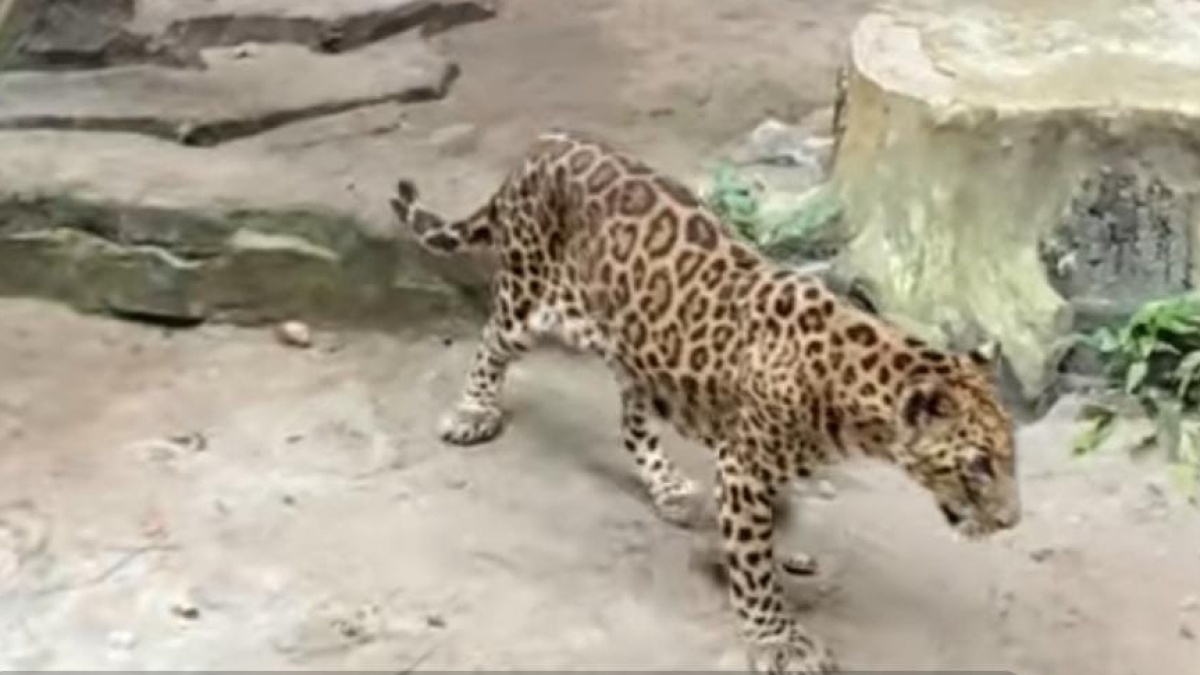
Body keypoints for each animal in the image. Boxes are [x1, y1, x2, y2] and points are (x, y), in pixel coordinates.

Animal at [388, 129, 1021, 674]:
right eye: (977, 466)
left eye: (1010, 460)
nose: (1011, 522)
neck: (855, 391)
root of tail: (543, 145)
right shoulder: (744, 465)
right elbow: (756, 567)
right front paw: (777, 640)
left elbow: (766, 530)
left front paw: (746, 552)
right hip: (530, 300)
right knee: (492, 339)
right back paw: (473, 411)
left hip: (634, 346)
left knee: (632, 423)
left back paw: (668, 486)